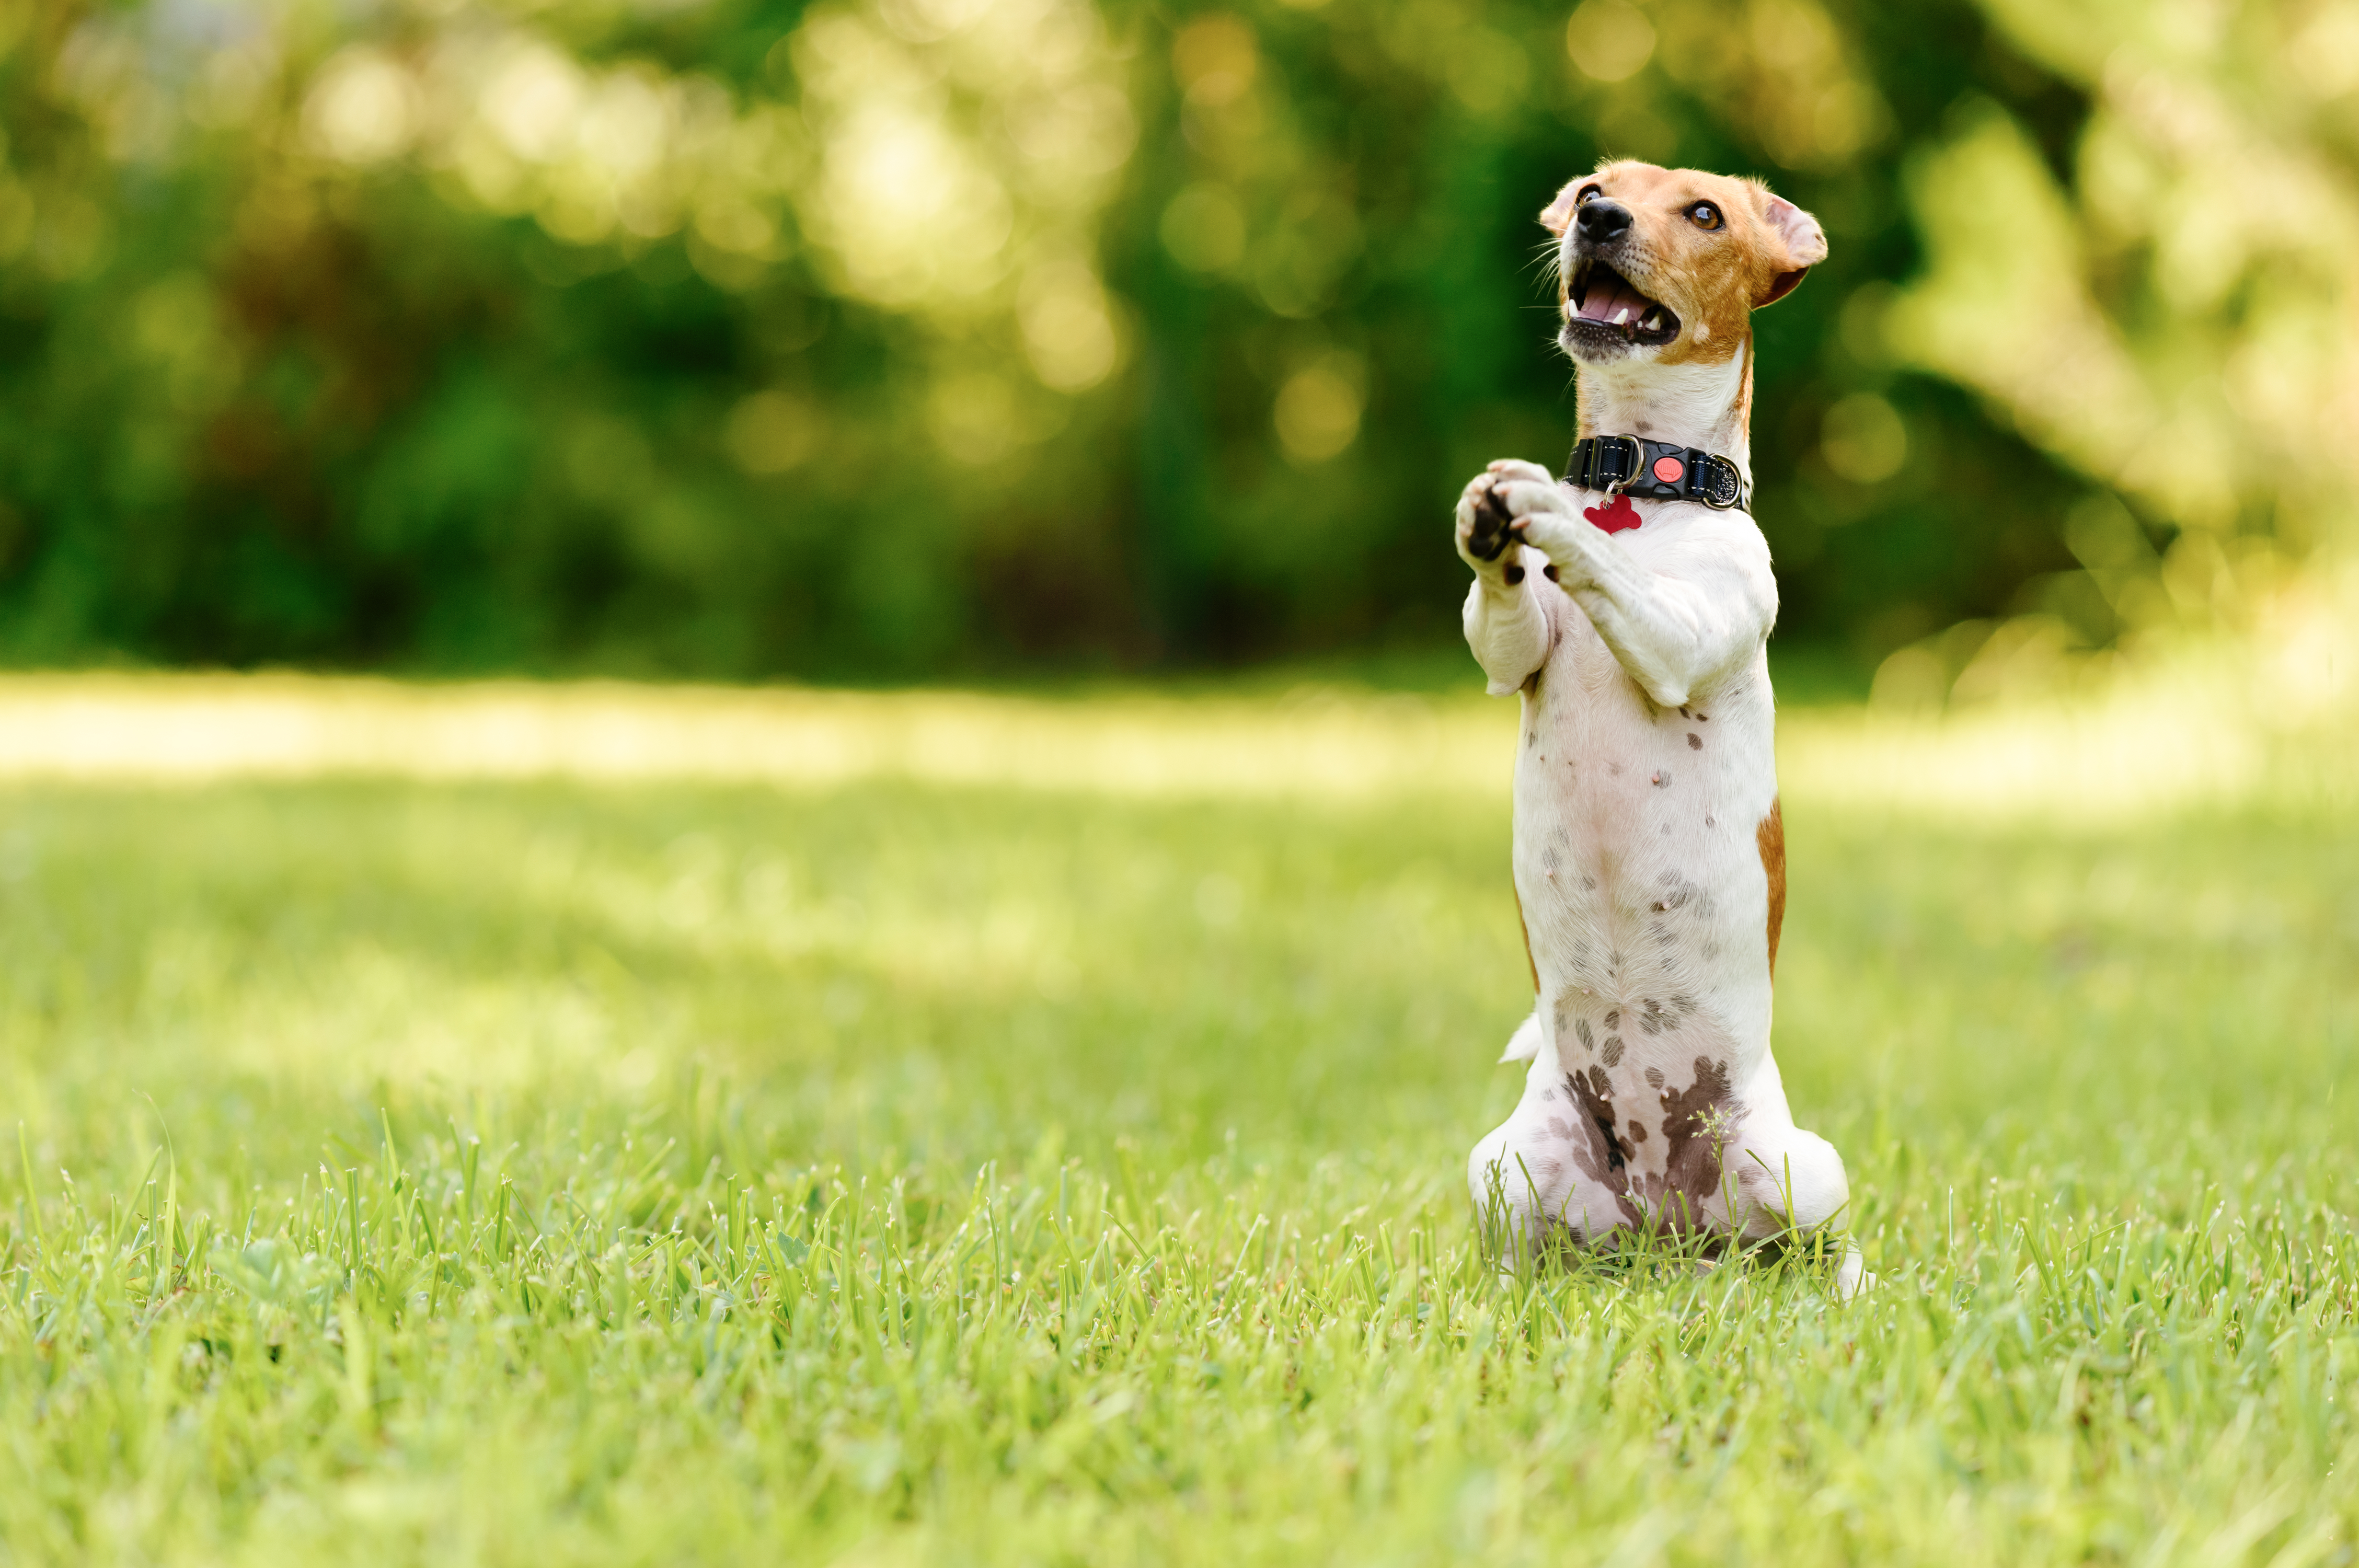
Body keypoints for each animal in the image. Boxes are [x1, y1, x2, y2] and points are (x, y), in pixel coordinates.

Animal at [1443, 159, 1868, 1292]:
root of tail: (1664, 1224)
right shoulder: (1511, 655)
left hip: (1799, 1169)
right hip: (1503, 1167)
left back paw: (1850, 1288)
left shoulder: (1679, 638)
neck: (1640, 487)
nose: (1596, 218)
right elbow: (1502, 616)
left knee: (1829, 1244)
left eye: (1705, 213)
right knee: (1525, 1243)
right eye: (1596, 185)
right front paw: (1491, 527)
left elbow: (1616, 579)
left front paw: (1548, 514)